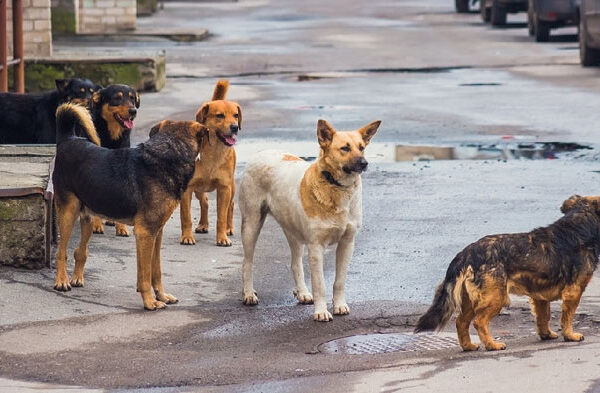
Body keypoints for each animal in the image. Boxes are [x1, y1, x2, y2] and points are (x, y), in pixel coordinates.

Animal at [88, 83, 141, 236]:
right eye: (117, 98)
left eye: (132, 99)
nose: (133, 111)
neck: (112, 136)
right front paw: (96, 225)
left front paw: (121, 227)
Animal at [151, 79, 240, 245]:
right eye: (220, 116)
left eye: (236, 115)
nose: (235, 127)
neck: (213, 153)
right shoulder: (187, 190)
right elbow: (186, 217)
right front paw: (187, 236)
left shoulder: (224, 188)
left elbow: (221, 217)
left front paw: (222, 237)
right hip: (199, 188)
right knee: (204, 201)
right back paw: (203, 224)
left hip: (231, 187)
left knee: (230, 206)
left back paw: (229, 228)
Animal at [238, 118, 380, 320]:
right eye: (345, 148)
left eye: (362, 148)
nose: (364, 163)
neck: (335, 186)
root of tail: (261, 152)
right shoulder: (316, 247)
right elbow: (320, 284)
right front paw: (321, 312)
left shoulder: (347, 243)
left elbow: (339, 281)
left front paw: (339, 305)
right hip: (251, 224)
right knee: (247, 262)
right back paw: (248, 293)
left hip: (293, 232)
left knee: (295, 263)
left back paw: (302, 293)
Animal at [414, 194, 600, 350]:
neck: (579, 225)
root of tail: (466, 253)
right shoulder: (573, 292)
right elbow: (567, 317)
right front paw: (570, 335)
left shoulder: (539, 296)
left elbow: (543, 317)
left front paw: (546, 334)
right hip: (496, 297)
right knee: (479, 322)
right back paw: (492, 345)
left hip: (470, 300)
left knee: (461, 322)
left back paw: (468, 346)